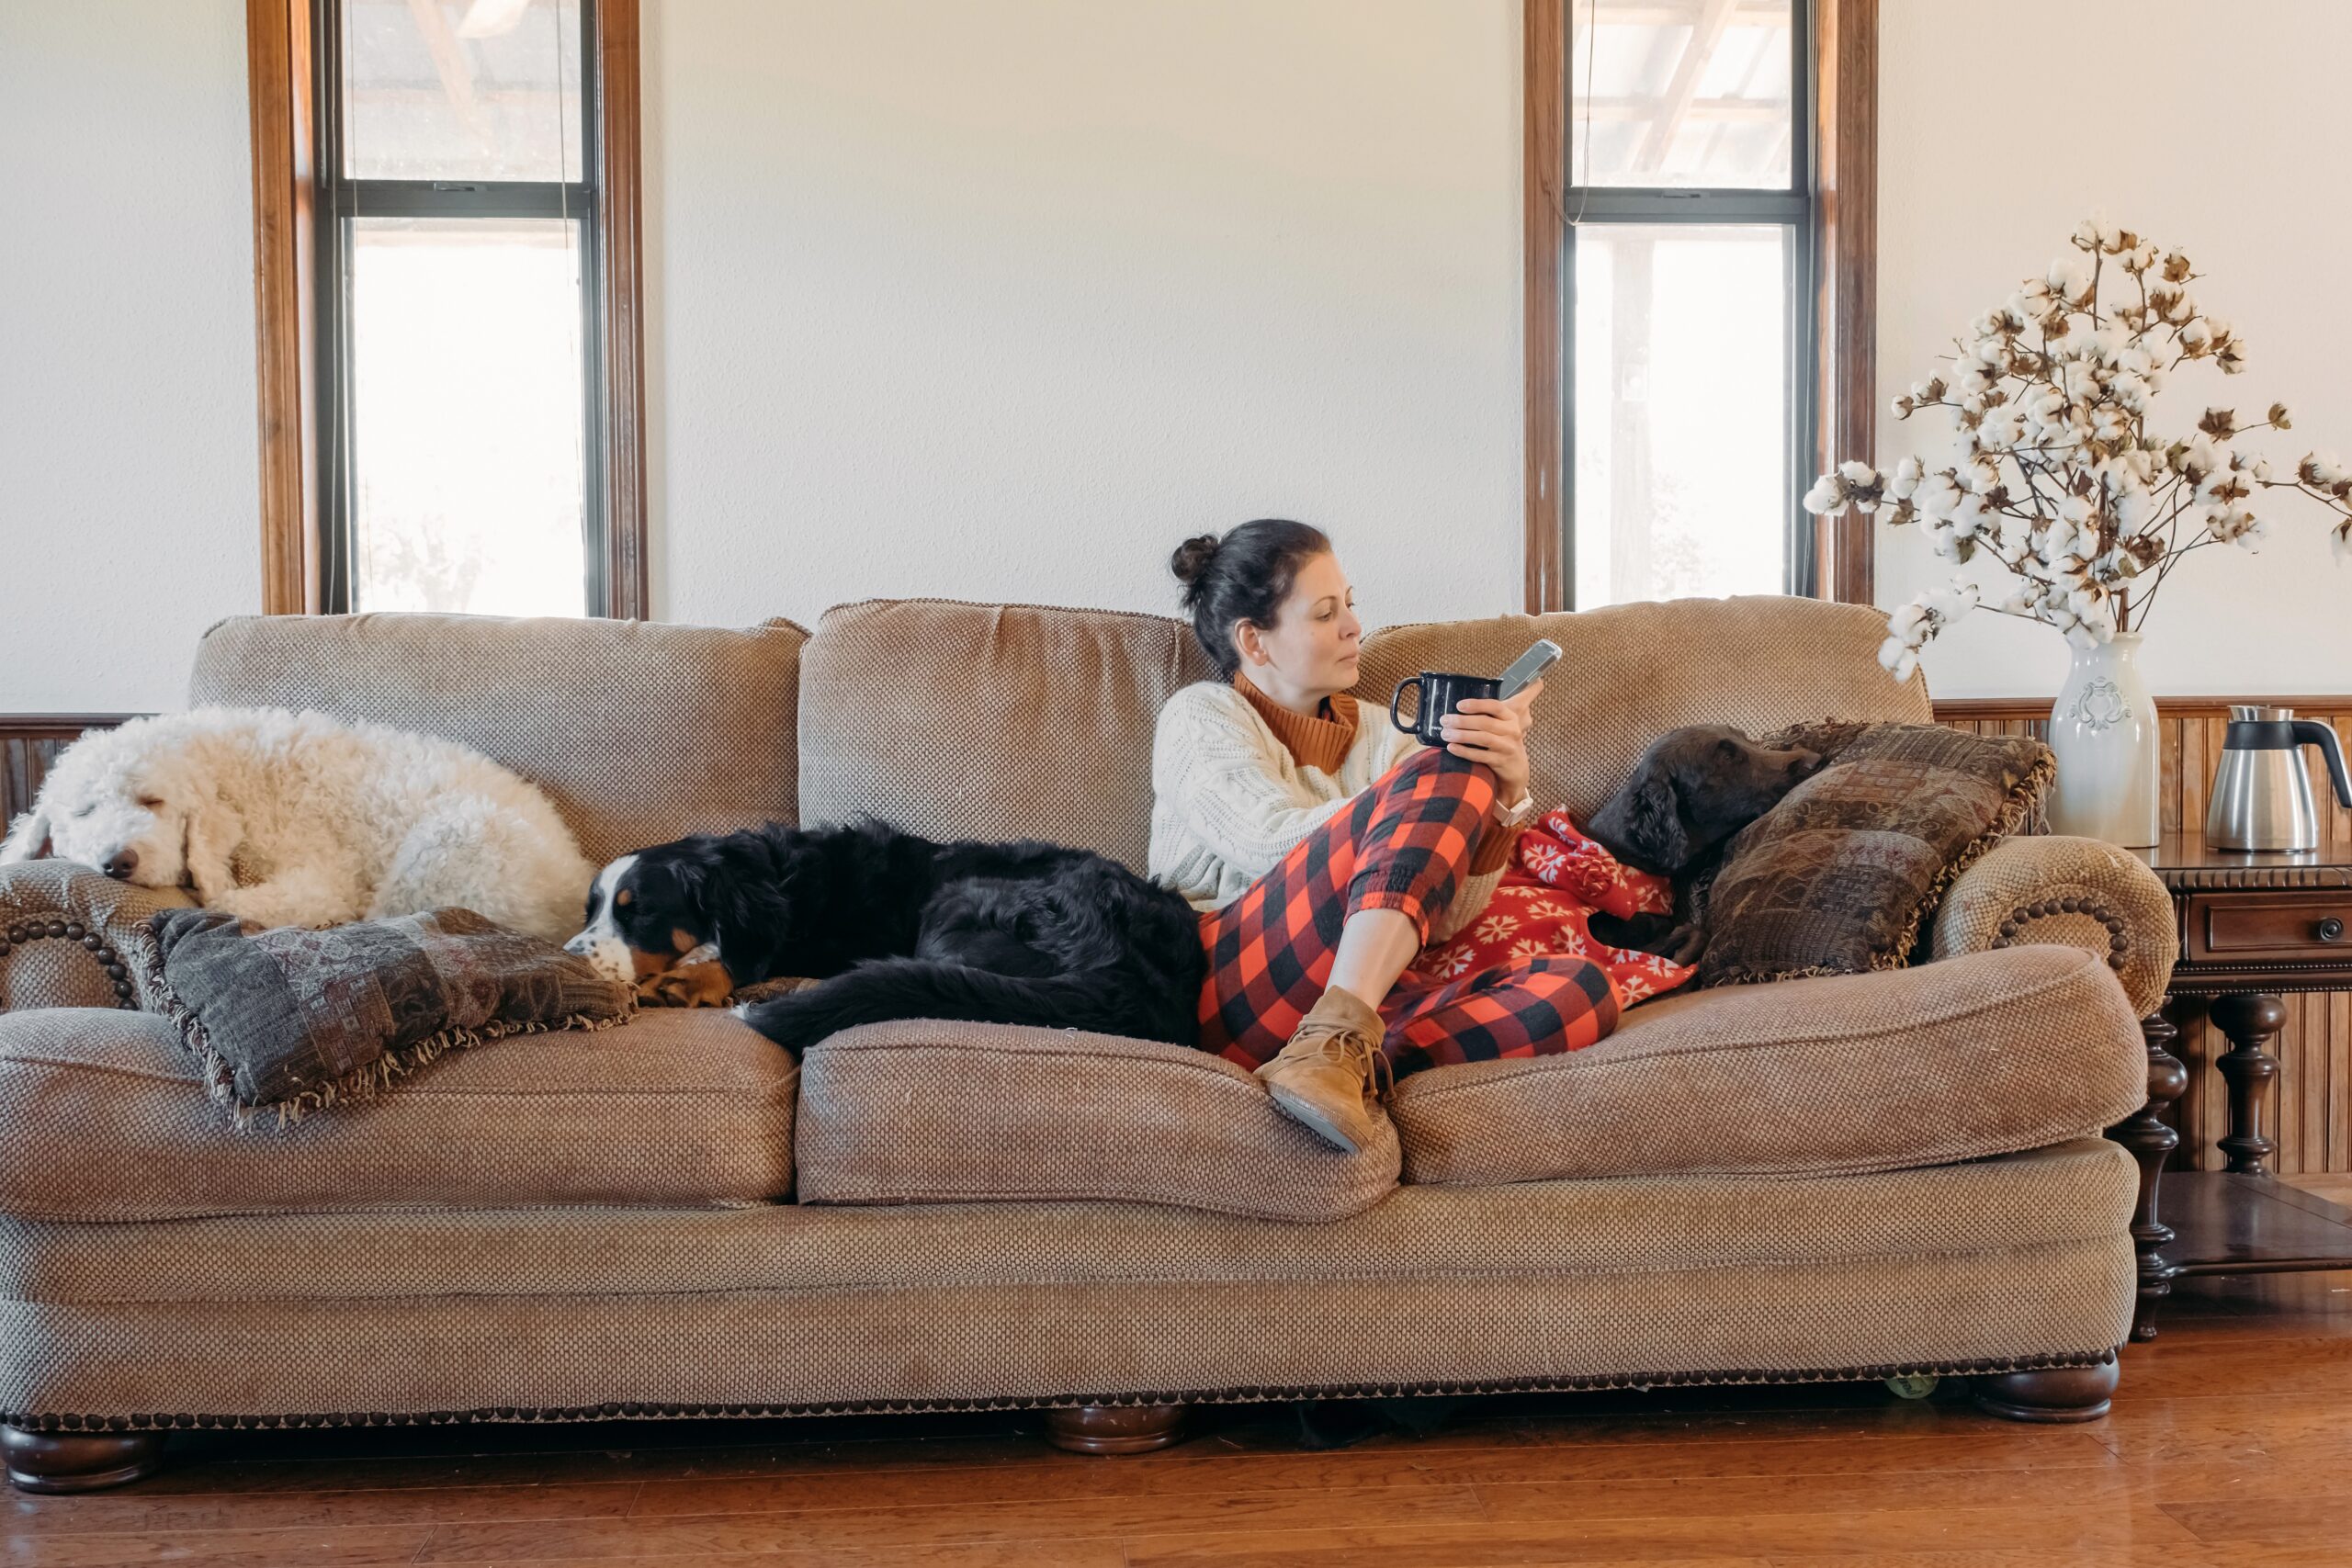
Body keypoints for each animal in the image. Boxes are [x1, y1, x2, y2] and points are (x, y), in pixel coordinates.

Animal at [0, 709, 597, 944]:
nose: (117, 863)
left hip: (451, 839)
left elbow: (236, 900)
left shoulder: (320, 879)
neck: (226, 776)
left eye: (153, 799)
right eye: (83, 812)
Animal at [560, 822, 1204, 1053]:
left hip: (956, 902)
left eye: (637, 912)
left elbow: (730, 954)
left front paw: (689, 978)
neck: (765, 876)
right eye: (590, 910)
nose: (567, 958)